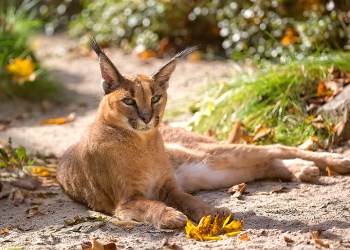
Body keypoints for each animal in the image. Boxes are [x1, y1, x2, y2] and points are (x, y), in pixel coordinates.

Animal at [56, 38, 348, 229]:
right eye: (129, 101)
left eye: (156, 97)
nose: (147, 117)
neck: (144, 142)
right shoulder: (126, 201)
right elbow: (151, 205)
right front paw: (171, 217)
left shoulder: (169, 187)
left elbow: (189, 201)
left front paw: (212, 214)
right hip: (211, 170)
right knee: (264, 162)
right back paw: (303, 169)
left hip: (209, 155)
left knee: (274, 148)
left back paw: (334, 162)